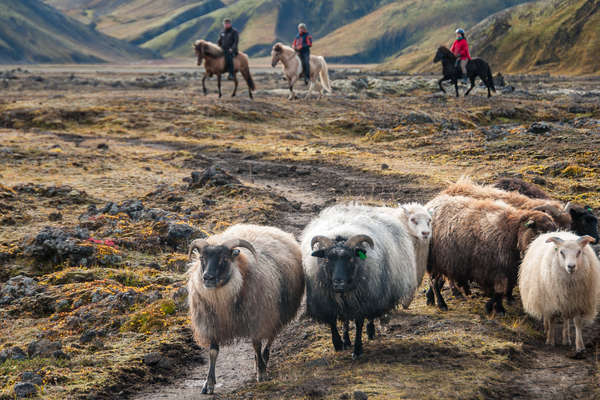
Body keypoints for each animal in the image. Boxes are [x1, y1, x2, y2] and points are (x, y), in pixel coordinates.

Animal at [188, 223, 304, 396]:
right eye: (202, 258)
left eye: (224, 259)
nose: (207, 277)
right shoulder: (212, 323)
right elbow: (213, 352)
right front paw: (209, 384)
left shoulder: (257, 317)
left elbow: (256, 345)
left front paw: (261, 373)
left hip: (276, 313)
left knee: (270, 337)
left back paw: (263, 360)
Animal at [300, 205, 418, 358]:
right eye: (327, 259)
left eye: (351, 258)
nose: (338, 283)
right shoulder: (326, 299)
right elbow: (332, 321)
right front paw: (338, 343)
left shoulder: (362, 300)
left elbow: (359, 324)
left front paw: (357, 349)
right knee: (345, 319)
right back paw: (346, 340)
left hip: (374, 291)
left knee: (370, 315)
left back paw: (370, 331)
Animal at [424, 195, 556, 314]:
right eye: (538, 232)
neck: (513, 233)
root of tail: (431, 203)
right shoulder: (495, 271)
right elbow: (499, 292)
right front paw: (496, 308)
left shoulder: (508, 272)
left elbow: (502, 291)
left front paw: (495, 307)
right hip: (435, 260)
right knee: (434, 282)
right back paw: (441, 304)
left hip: (443, 262)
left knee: (436, 281)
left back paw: (430, 299)